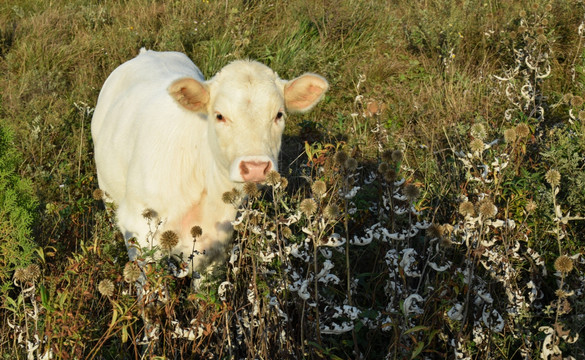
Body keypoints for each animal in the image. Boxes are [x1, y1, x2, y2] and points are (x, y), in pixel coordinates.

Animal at [92, 48, 328, 276]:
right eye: (219, 115)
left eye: (279, 114)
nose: (255, 167)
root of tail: (147, 53)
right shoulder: (139, 236)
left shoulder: (216, 248)